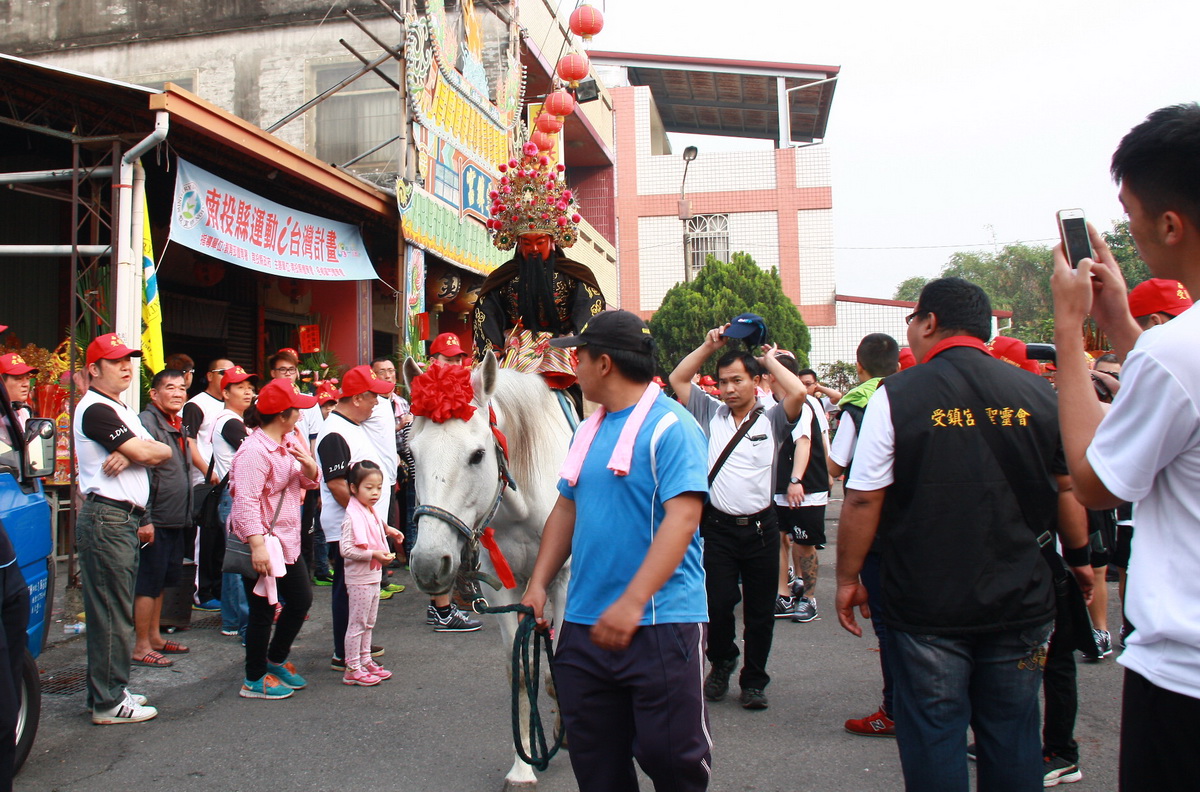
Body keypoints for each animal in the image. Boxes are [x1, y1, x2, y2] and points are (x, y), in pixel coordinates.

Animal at [403, 355, 571, 787]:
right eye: (411, 453)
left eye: (477, 455)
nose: (428, 563)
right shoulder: (502, 588)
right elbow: (519, 672)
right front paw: (523, 766)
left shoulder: (563, 577)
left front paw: (566, 732)